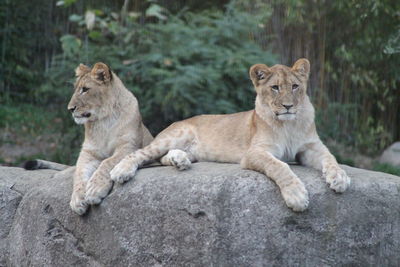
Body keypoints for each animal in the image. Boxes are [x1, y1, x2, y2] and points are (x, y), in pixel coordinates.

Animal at [25, 62, 185, 216]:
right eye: (76, 89)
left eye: (85, 89)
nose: (70, 109)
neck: (103, 121)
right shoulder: (88, 153)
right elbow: (79, 174)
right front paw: (77, 200)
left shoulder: (128, 146)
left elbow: (107, 162)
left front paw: (95, 189)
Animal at [109, 59, 350, 214]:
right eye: (274, 88)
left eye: (295, 86)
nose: (288, 106)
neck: (288, 124)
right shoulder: (255, 152)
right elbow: (280, 166)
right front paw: (297, 196)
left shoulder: (311, 147)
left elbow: (330, 158)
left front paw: (339, 178)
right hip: (176, 135)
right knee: (141, 154)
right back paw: (121, 171)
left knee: (163, 157)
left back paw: (181, 161)